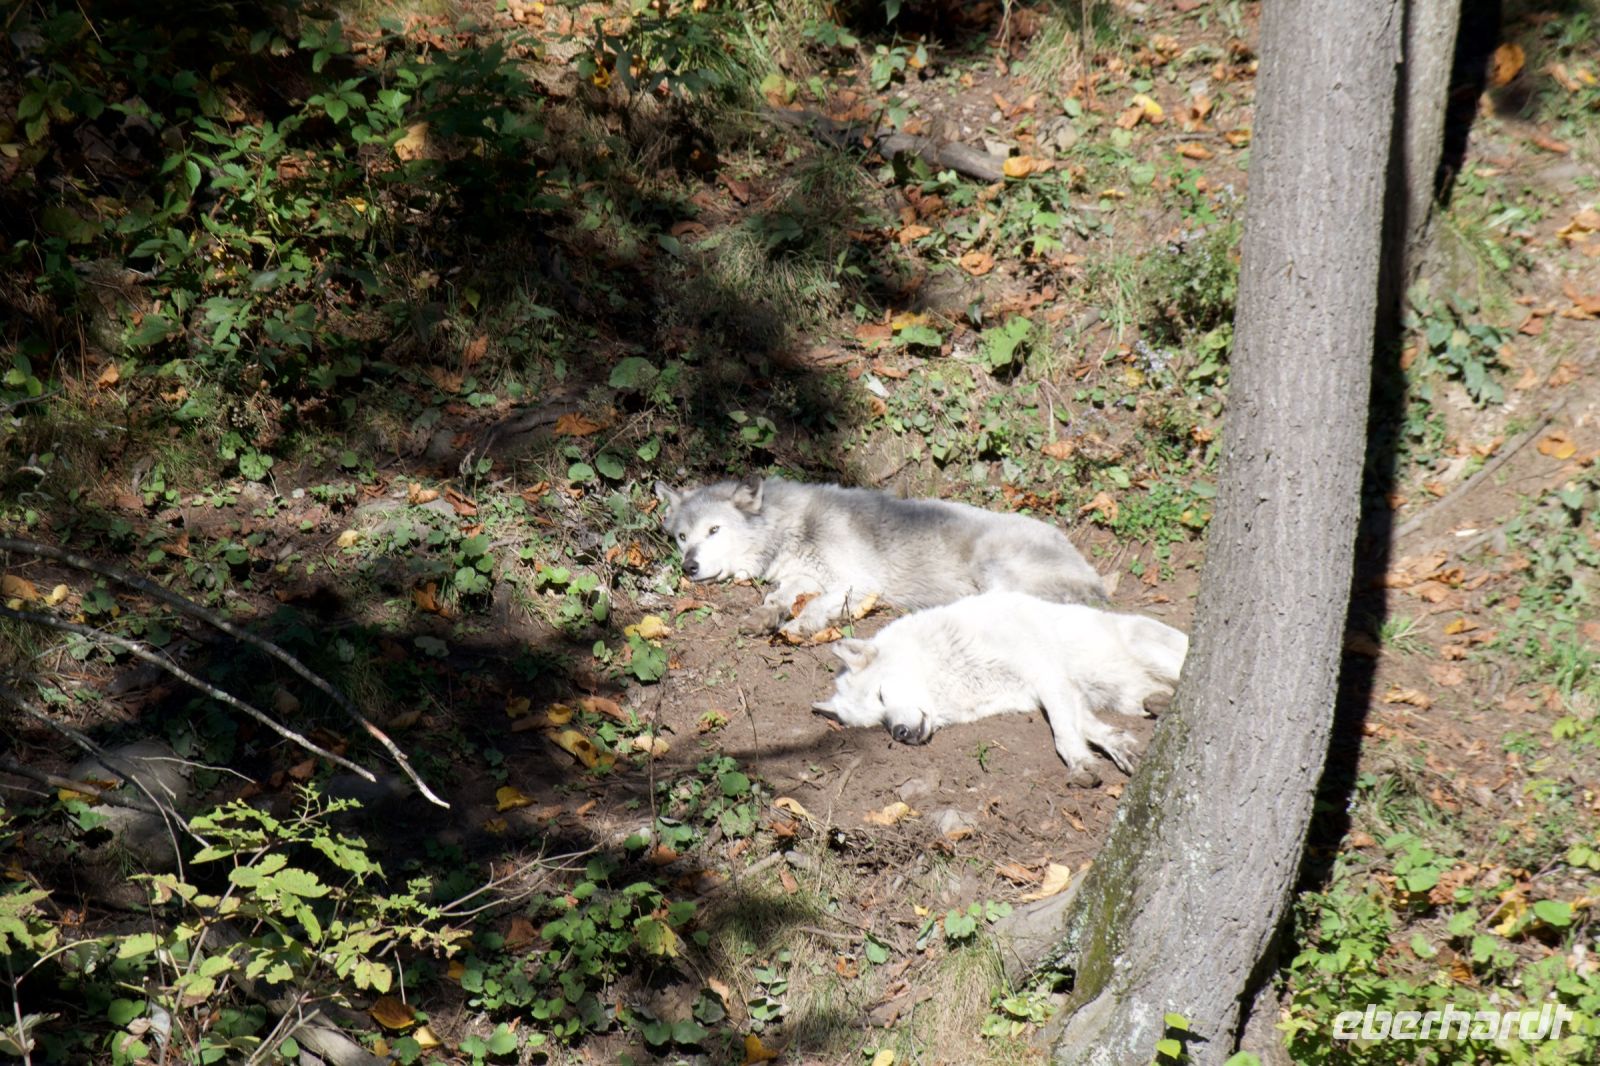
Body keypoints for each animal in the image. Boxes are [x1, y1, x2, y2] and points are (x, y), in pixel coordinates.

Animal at [653, 476, 1106, 638]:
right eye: (681, 537)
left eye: (714, 530)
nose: (688, 567)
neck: (793, 526)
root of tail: (1096, 579)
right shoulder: (805, 575)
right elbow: (779, 597)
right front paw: (764, 616)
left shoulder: (858, 583)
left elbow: (814, 606)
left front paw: (799, 626)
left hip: (991, 566)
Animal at [810, 591, 1187, 785]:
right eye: (877, 723)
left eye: (881, 695)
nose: (899, 733)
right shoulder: (1045, 693)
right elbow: (1088, 727)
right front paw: (1120, 749)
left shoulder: (1048, 675)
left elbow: (1064, 731)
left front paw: (1080, 763)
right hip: (1127, 698)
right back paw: (1159, 703)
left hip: (1148, 651)